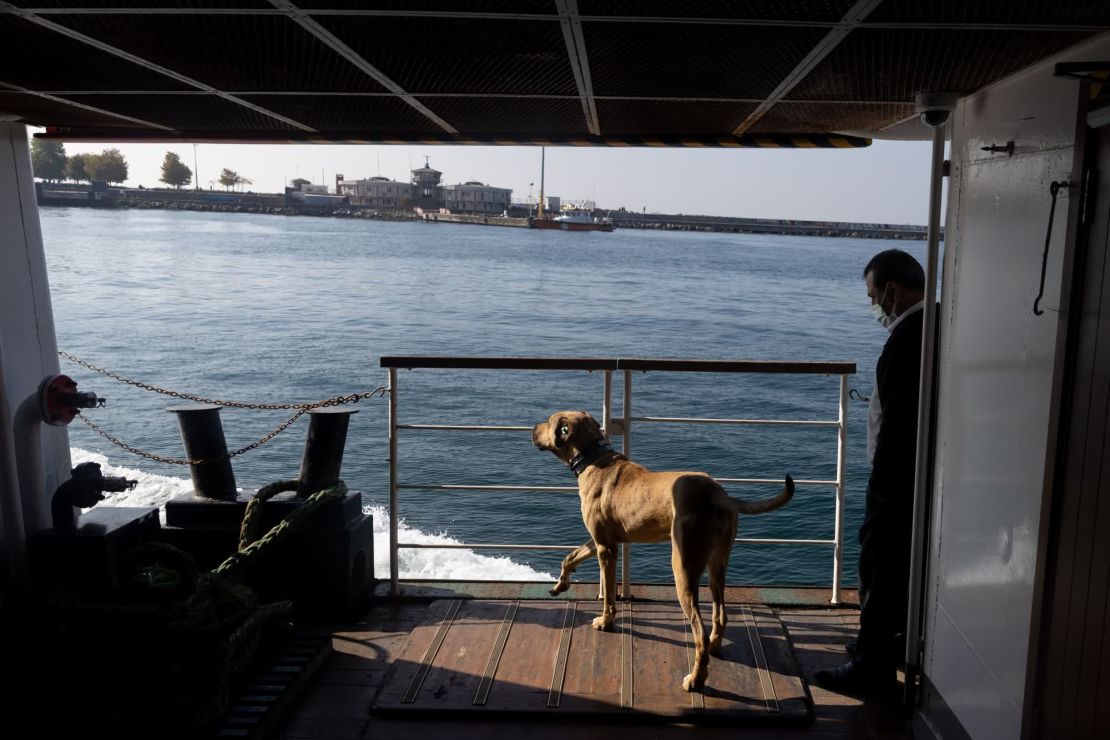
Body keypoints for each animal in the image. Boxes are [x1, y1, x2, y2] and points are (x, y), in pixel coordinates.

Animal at [532, 408, 794, 692]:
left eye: (548, 421)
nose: (532, 428)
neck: (593, 457)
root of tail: (720, 496)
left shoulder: (606, 549)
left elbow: (609, 595)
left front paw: (605, 621)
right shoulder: (603, 540)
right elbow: (570, 556)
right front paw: (560, 585)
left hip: (683, 566)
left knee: (699, 632)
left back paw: (696, 679)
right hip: (718, 563)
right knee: (720, 614)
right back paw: (715, 648)